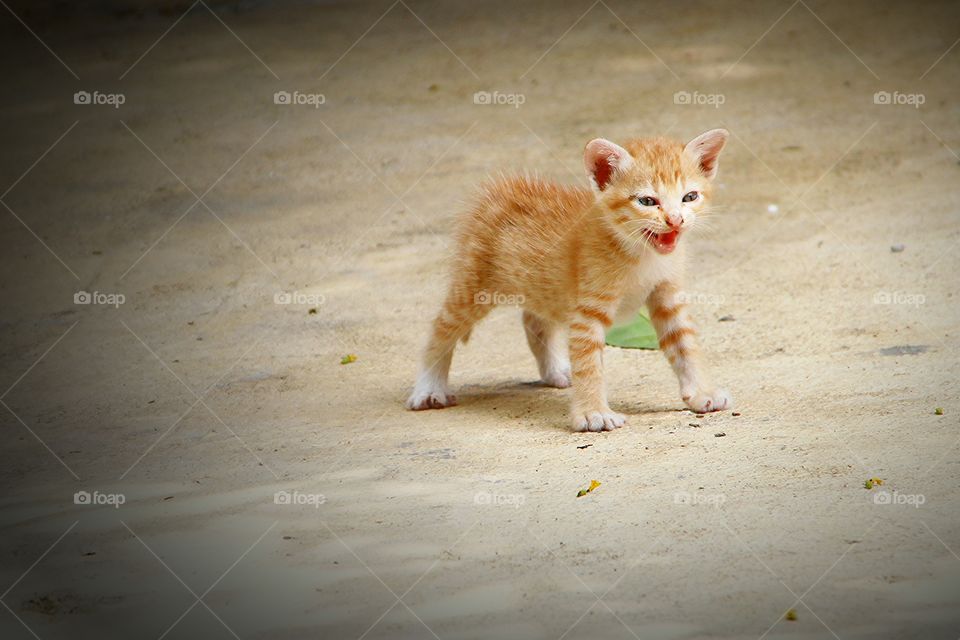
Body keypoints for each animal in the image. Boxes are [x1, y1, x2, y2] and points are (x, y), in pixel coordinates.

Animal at [408, 128, 732, 432]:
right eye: (647, 201)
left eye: (689, 197)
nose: (675, 220)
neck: (641, 254)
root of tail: (500, 188)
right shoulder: (589, 310)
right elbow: (589, 363)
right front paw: (593, 414)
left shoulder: (667, 296)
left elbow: (685, 344)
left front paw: (702, 393)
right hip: (476, 285)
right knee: (443, 326)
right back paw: (428, 388)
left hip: (544, 287)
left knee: (534, 320)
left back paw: (556, 371)